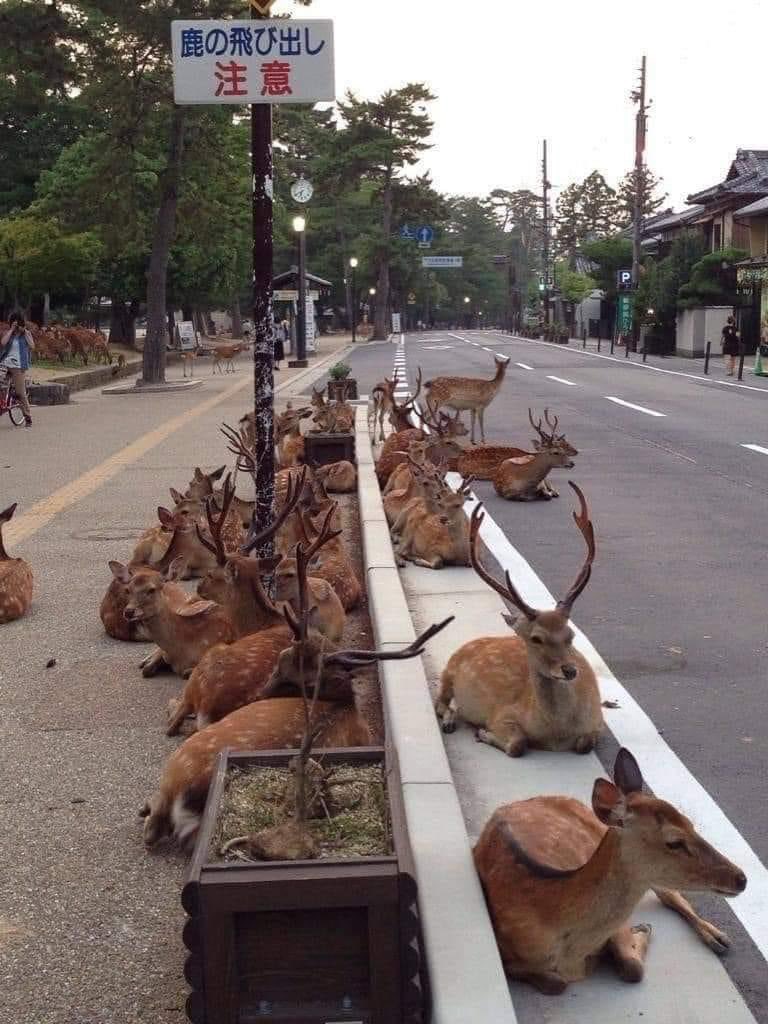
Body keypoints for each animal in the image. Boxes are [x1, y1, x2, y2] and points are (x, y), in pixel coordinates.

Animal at [141, 598, 453, 848]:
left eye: (306, 682)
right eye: (281, 659)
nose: (259, 696)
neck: (345, 704)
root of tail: (187, 792)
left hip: (180, 755)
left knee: (152, 825)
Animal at [436, 486, 603, 755]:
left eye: (571, 635)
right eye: (536, 638)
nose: (569, 670)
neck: (557, 735)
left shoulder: (598, 721)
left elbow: (585, 744)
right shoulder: (501, 714)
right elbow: (518, 744)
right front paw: (483, 733)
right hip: (448, 671)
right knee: (440, 701)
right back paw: (451, 720)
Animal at [474, 747, 747, 994]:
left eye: (691, 823)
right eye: (674, 841)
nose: (741, 878)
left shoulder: (618, 926)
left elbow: (633, 968)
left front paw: (643, 930)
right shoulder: (508, 957)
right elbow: (557, 984)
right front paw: (641, 930)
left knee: (668, 894)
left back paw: (718, 937)